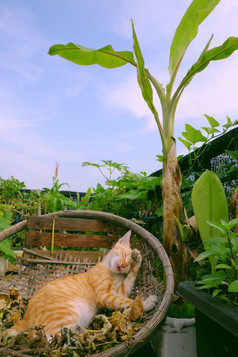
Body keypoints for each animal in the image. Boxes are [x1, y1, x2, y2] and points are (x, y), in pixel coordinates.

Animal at [4, 229, 157, 338]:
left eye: (128, 263)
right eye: (124, 255)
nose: (124, 264)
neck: (112, 271)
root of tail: (26, 316)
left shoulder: (120, 291)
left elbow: (129, 284)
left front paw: (138, 260)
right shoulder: (105, 295)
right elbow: (129, 301)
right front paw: (147, 303)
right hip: (66, 315)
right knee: (51, 340)